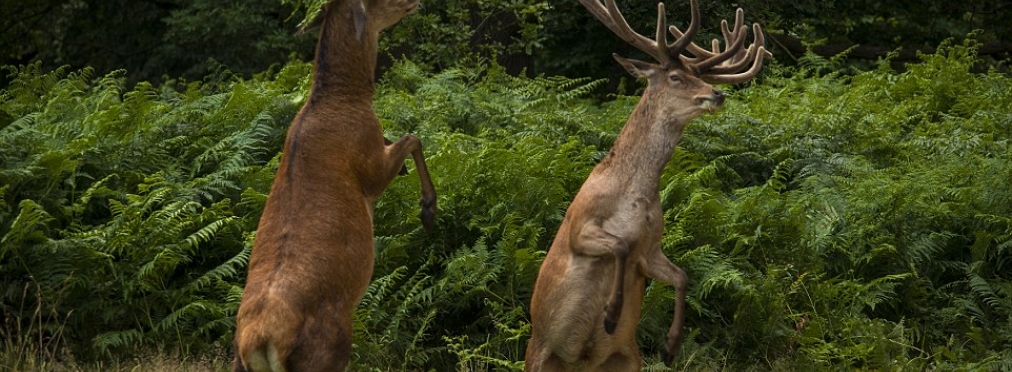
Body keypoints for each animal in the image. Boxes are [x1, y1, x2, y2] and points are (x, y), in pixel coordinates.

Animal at [234, 0, 437, 372]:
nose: (416, 2)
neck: (348, 98)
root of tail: (261, 340)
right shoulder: (370, 166)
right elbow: (412, 138)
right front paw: (428, 209)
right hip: (329, 349)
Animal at [522, 0, 765, 372]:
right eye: (676, 77)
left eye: (700, 77)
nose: (717, 93)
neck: (632, 199)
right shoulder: (579, 225)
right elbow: (620, 245)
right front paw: (610, 314)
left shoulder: (650, 249)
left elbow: (681, 275)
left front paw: (671, 345)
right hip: (536, 353)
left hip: (627, 359)